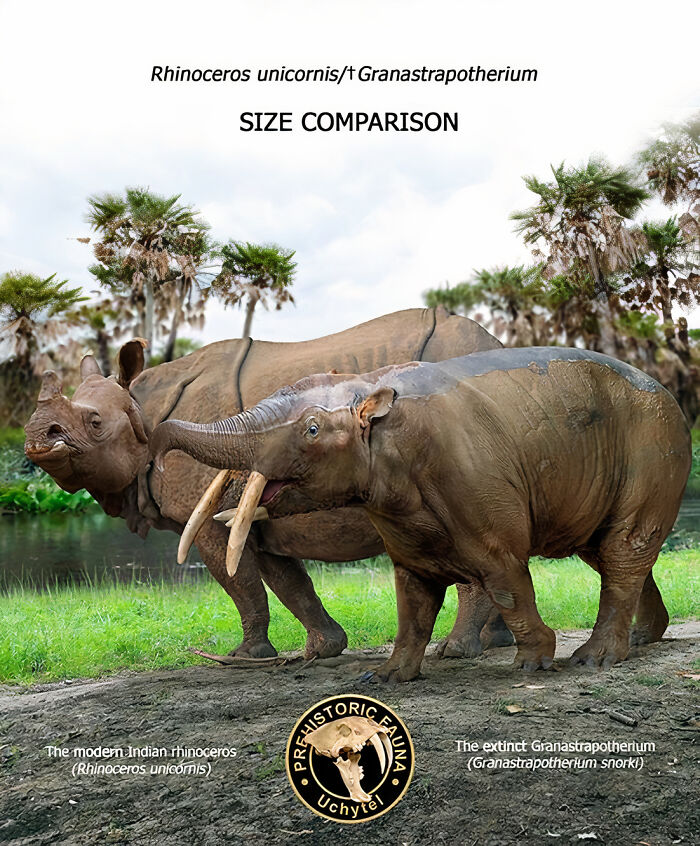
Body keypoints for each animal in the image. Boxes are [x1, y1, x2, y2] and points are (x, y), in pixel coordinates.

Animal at [24, 307, 512, 660]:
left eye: (94, 422)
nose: (34, 437)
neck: (143, 404)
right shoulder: (256, 514)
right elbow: (287, 581)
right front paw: (323, 649)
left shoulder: (208, 521)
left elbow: (238, 582)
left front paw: (247, 656)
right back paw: (496, 643)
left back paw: (456, 650)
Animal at [151, 347, 691, 681]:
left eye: (311, 429)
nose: (154, 443)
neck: (372, 386)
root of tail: (672, 396)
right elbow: (411, 593)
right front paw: (386, 677)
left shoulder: (477, 482)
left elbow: (504, 573)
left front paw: (533, 664)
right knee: (610, 553)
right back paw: (643, 638)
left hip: (653, 453)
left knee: (624, 549)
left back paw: (594, 660)